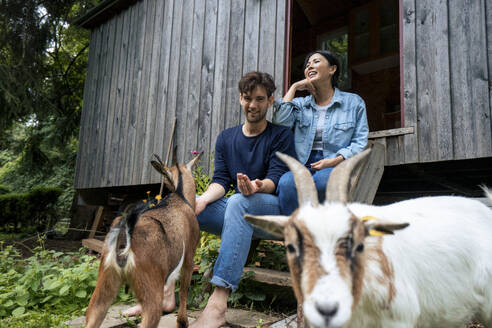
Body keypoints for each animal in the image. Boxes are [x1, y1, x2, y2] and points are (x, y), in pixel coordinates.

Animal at [85, 154, 201, 328]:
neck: (181, 197)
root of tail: (123, 236)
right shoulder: (189, 255)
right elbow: (184, 289)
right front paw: (182, 322)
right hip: (150, 287)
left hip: (105, 281)